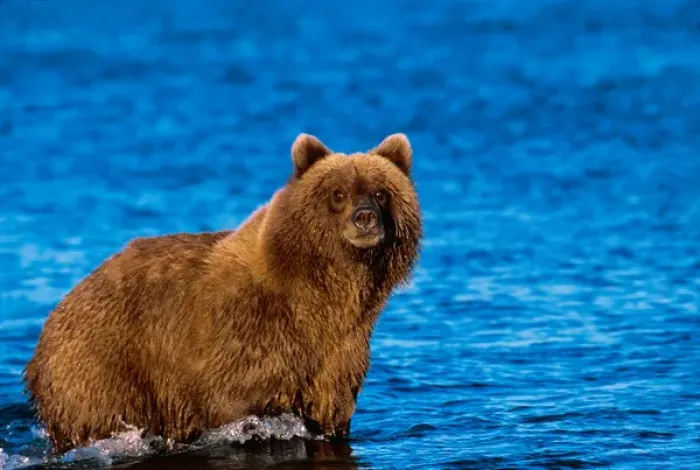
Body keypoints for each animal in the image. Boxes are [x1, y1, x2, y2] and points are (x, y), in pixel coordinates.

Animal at [23, 132, 422, 453]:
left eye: (381, 192)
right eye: (338, 193)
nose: (365, 217)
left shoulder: (337, 351)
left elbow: (331, 411)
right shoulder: (242, 341)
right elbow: (236, 405)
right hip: (104, 363)